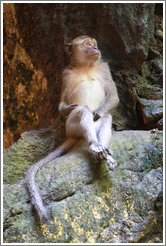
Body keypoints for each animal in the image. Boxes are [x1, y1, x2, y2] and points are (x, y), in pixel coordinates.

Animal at [25, 35, 119, 222]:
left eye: (94, 44)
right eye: (87, 44)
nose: (95, 48)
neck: (86, 67)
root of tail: (71, 136)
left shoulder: (104, 68)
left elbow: (113, 96)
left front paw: (97, 112)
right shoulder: (65, 74)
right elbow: (62, 104)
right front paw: (68, 109)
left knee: (106, 117)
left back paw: (103, 150)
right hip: (71, 127)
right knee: (82, 111)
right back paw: (94, 143)